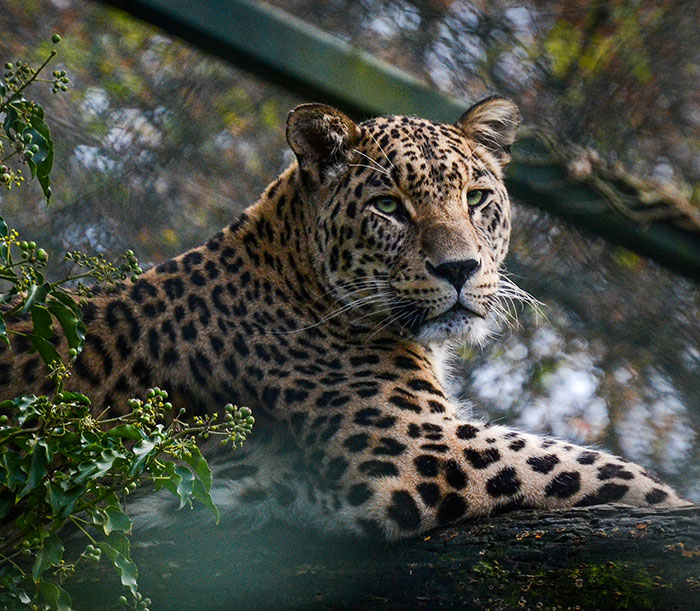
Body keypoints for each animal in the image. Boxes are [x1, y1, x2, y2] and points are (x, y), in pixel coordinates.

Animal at [0, 96, 689, 540]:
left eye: (476, 198)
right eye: (389, 206)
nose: (460, 268)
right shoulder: (422, 448)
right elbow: (609, 473)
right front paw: (676, 503)